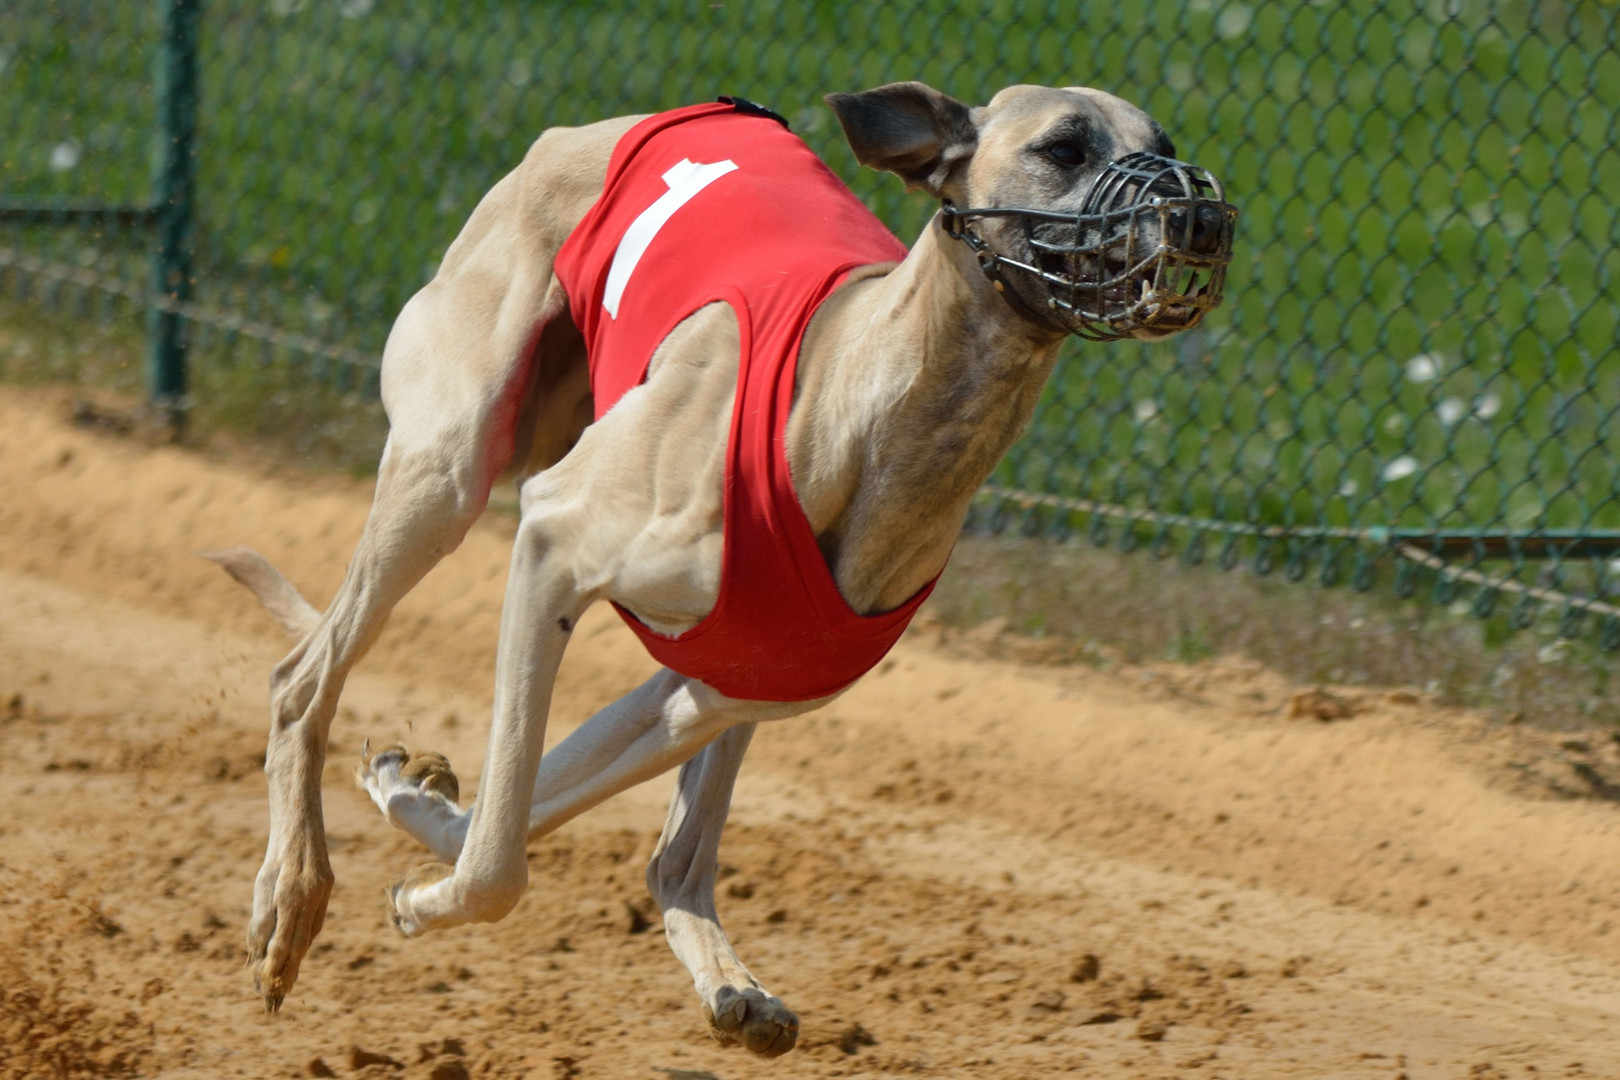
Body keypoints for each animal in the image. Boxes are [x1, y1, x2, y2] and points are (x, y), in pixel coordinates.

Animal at [208, 82, 1231, 1055]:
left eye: (1167, 146)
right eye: (1064, 148)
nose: (1203, 218)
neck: (857, 401)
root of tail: (594, 127)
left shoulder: (721, 678)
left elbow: (526, 811)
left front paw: (413, 810)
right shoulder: (551, 547)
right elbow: (499, 860)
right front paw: (417, 893)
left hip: (720, 679)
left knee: (675, 859)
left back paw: (726, 980)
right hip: (449, 469)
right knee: (303, 679)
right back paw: (291, 894)